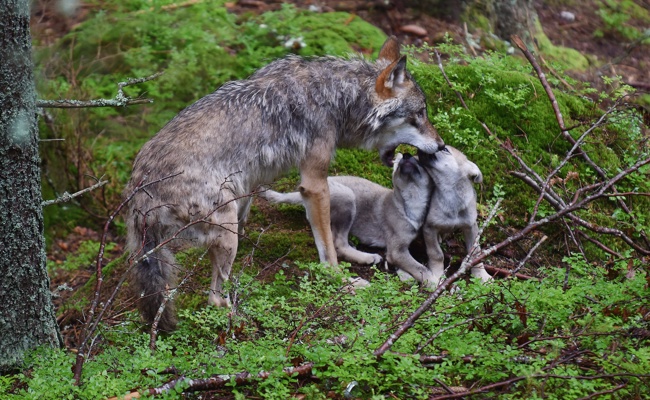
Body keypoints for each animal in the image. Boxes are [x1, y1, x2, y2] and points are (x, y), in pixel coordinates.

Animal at [262, 153, 433, 275]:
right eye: (397, 165)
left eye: (419, 160)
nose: (406, 155)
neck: (410, 201)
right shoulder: (396, 251)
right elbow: (421, 269)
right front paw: (432, 282)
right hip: (347, 198)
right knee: (339, 243)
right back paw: (367, 257)